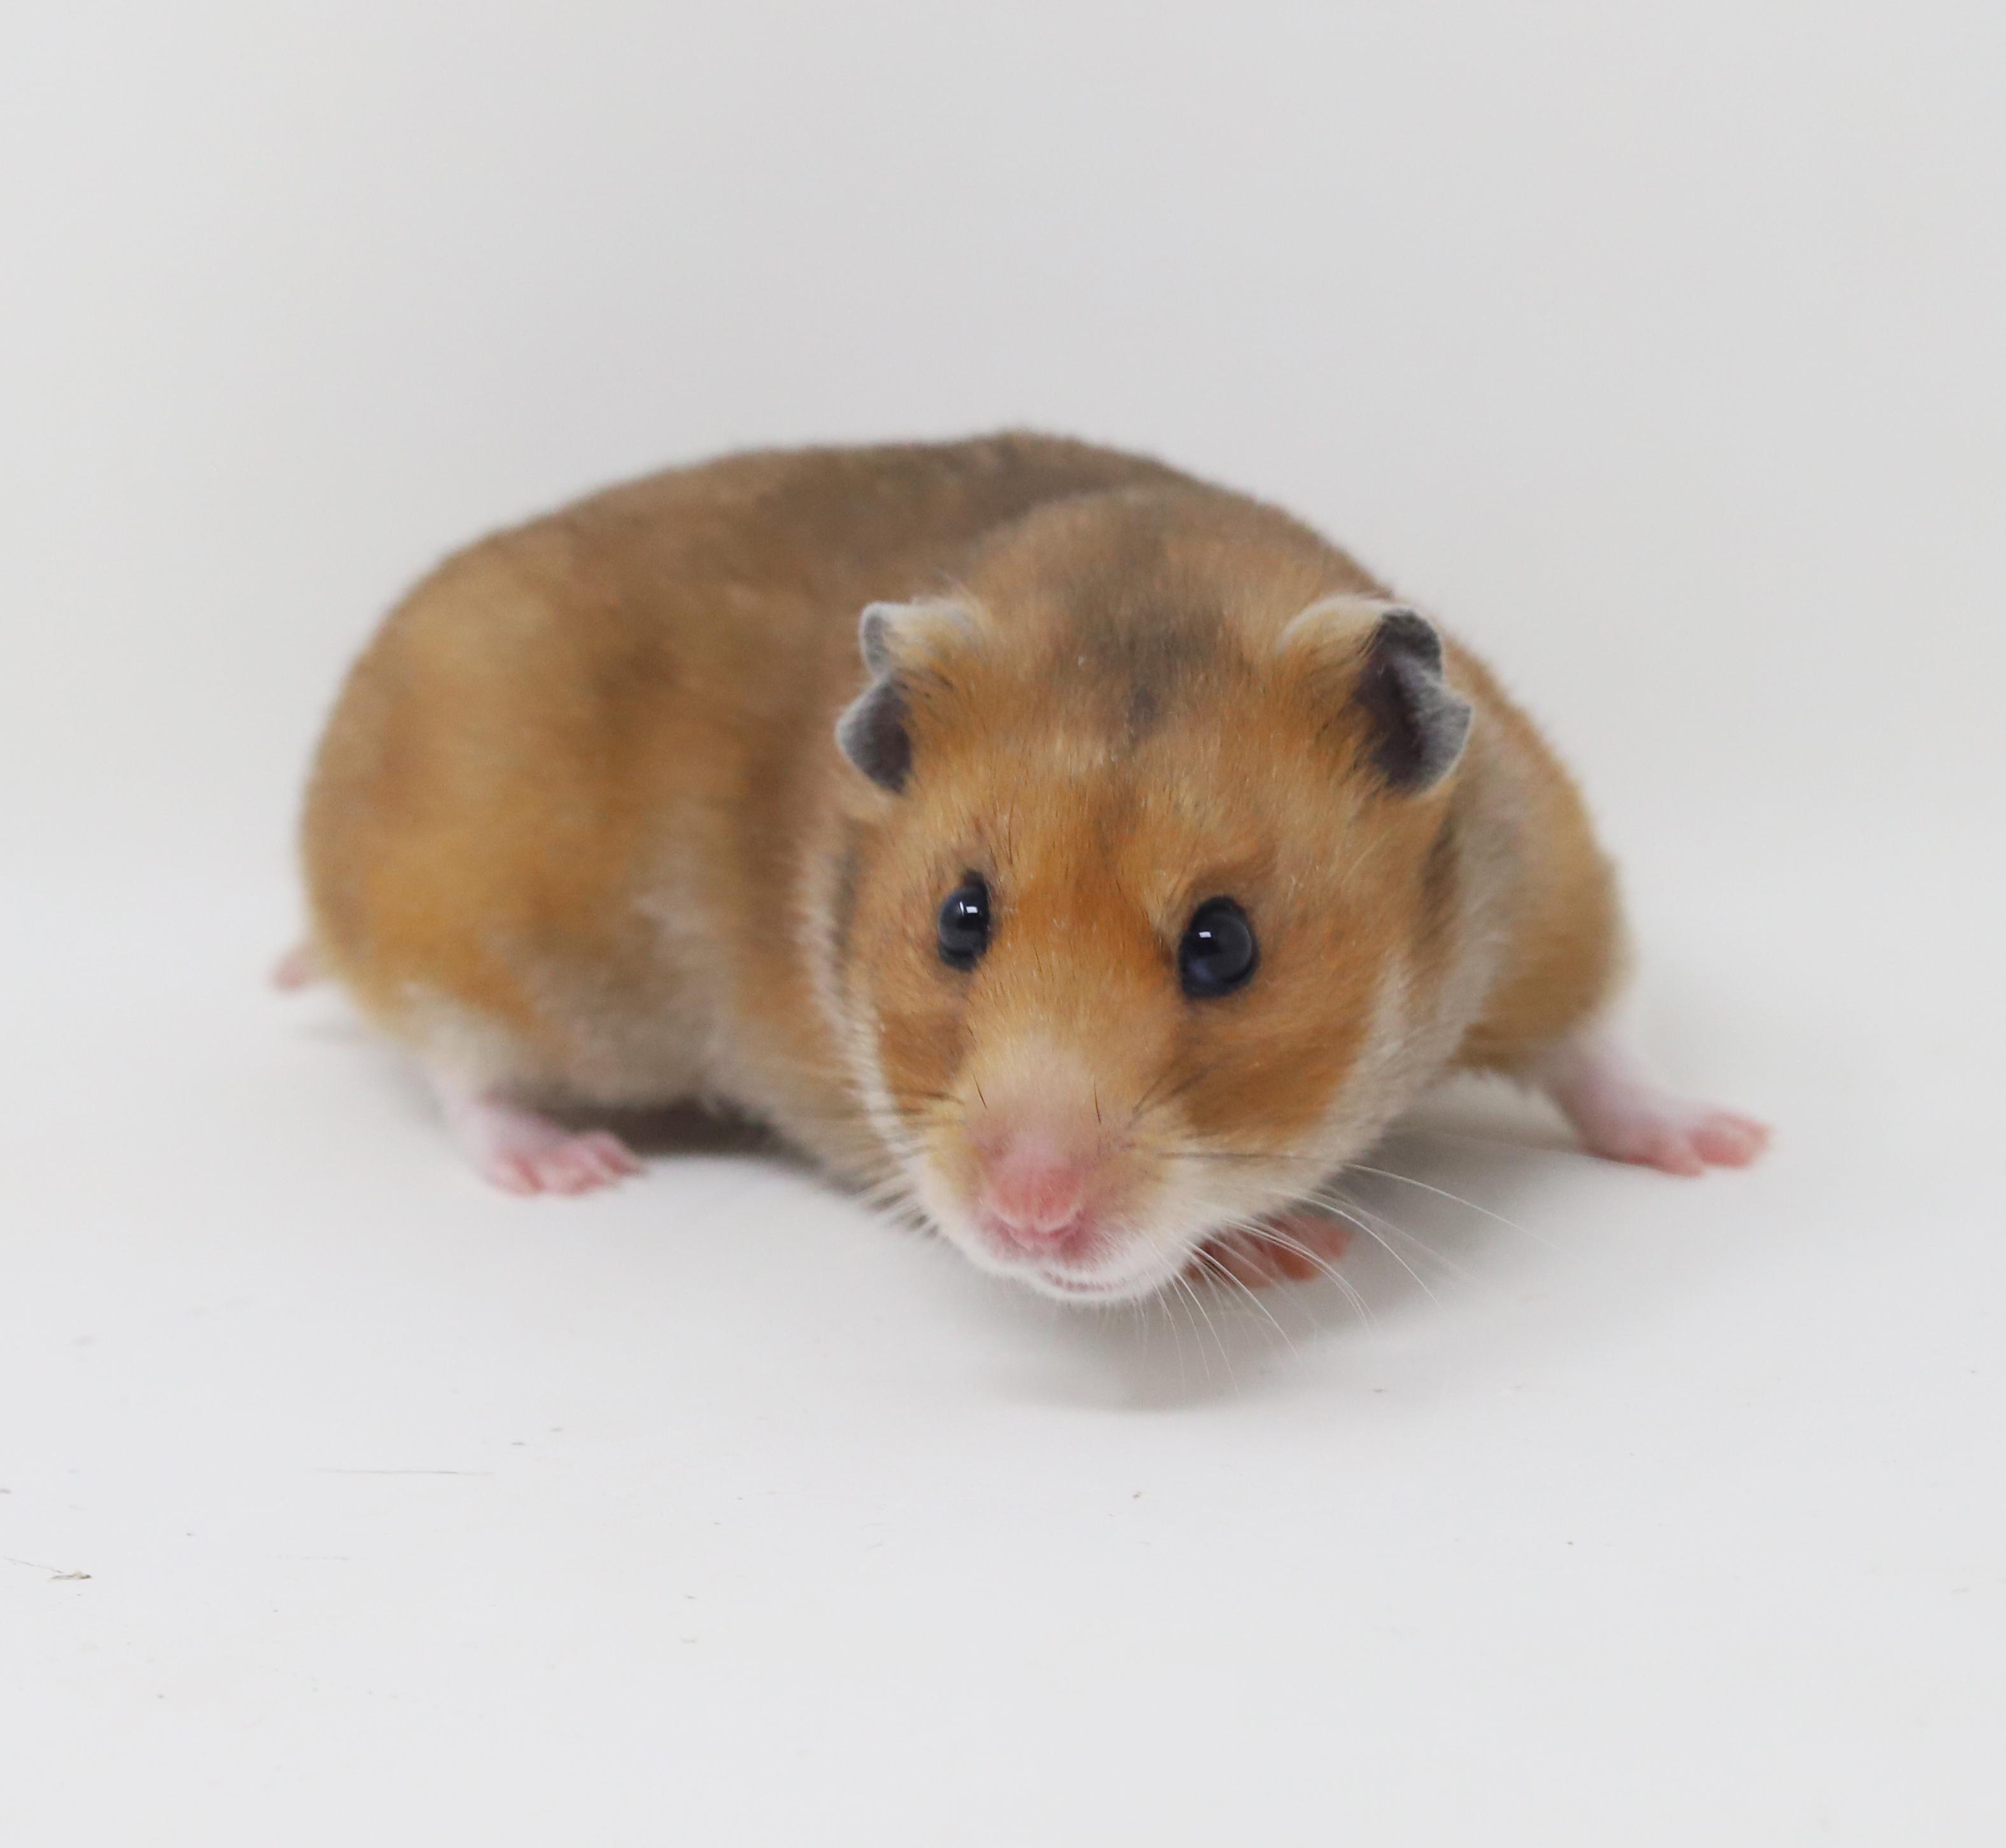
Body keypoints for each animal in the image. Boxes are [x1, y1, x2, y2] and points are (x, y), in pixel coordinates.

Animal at [295, 432, 1767, 1302]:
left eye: (1225, 942)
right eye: (959, 920)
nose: (1027, 1216)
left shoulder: (1553, 893)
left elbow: (1602, 1052)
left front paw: (1729, 1148)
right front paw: (1288, 1246)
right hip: (472, 939)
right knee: (459, 1068)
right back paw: (573, 1165)